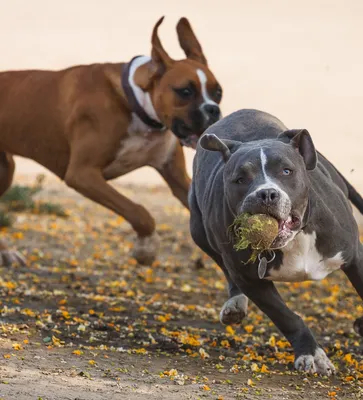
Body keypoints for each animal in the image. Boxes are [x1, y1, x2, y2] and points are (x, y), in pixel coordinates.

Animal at [0, 16, 222, 266]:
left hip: (4, 171)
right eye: (185, 91)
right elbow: (140, 212)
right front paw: (146, 248)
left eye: (218, 93)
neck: (137, 104)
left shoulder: (178, 179)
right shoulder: (82, 174)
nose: (213, 110)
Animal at [189, 108, 363, 376]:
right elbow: (286, 317)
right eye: (240, 179)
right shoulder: (250, 279)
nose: (266, 193)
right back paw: (235, 303)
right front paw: (312, 354)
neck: (292, 240)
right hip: (199, 230)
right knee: (222, 264)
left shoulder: (353, 256)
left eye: (286, 171)